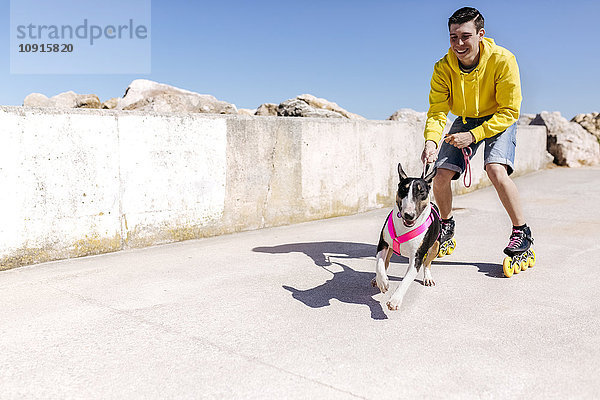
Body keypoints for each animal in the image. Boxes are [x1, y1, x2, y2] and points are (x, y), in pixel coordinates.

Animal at [370, 162, 440, 310]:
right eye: (403, 189)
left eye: (421, 192)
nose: (409, 215)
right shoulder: (383, 244)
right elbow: (379, 263)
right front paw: (382, 282)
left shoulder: (417, 258)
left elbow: (407, 279)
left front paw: (395, 300)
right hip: (390, 249)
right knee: (385, 263)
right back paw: (377, 279)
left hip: (436, 245)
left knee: (427, 263)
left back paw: (428, 278)